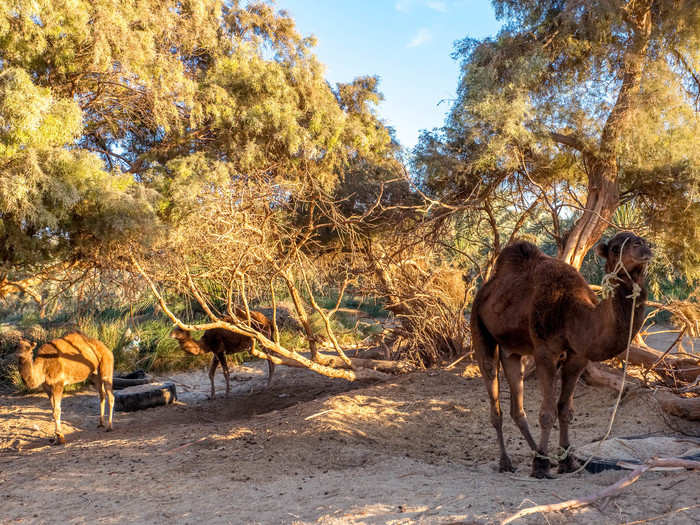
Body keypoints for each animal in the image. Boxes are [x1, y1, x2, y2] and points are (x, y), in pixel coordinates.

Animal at [470, 231, 652, 476]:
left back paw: (539, 453)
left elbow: (565, 409)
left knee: (517, 406)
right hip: (479, 326)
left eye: (641, 240)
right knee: (493, 393)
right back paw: (508, 462)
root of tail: (487, 289)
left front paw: (566, 461)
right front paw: (541, 467)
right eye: (615, 248)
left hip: (512, 350)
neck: (573, 312)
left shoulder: (577, 357)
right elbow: (547, 413)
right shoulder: (546, 353)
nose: (643, 246)